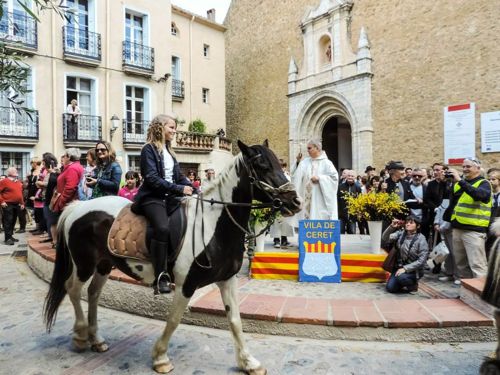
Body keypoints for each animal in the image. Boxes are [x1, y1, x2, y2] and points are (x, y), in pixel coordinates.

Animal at [44, 140, 300, 374]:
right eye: (262, 165)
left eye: (279, 163)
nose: (295, 201)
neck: (212, 225)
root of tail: (76, 207)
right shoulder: (186, 284)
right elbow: (175, 319)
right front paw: (160, 358)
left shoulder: (227, 280)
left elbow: (236, 321)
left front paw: (249, 362)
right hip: (84, 264)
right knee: (73, 290)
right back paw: (80, 335)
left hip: (104, 265)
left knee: (93, 294)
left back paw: (96, 339)